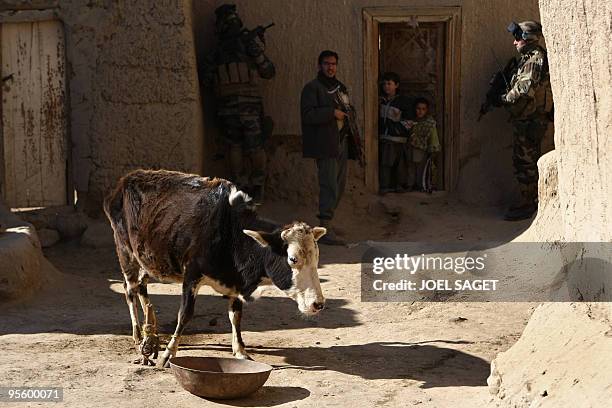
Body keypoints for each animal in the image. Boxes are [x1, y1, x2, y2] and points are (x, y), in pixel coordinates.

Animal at [103, 169, 328, 366]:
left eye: (316, 258)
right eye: (293, 259)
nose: (318, 304)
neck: (230, 231)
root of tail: (127, 179)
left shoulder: (236, 283)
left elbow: (235, 316)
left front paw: (240, 351)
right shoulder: (191, 275)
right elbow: (185, 314)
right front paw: (169, 353)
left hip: (147, 260)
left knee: (142, 287)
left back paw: (151, 334)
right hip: (125, 251)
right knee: (130, 290)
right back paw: (138, 335)